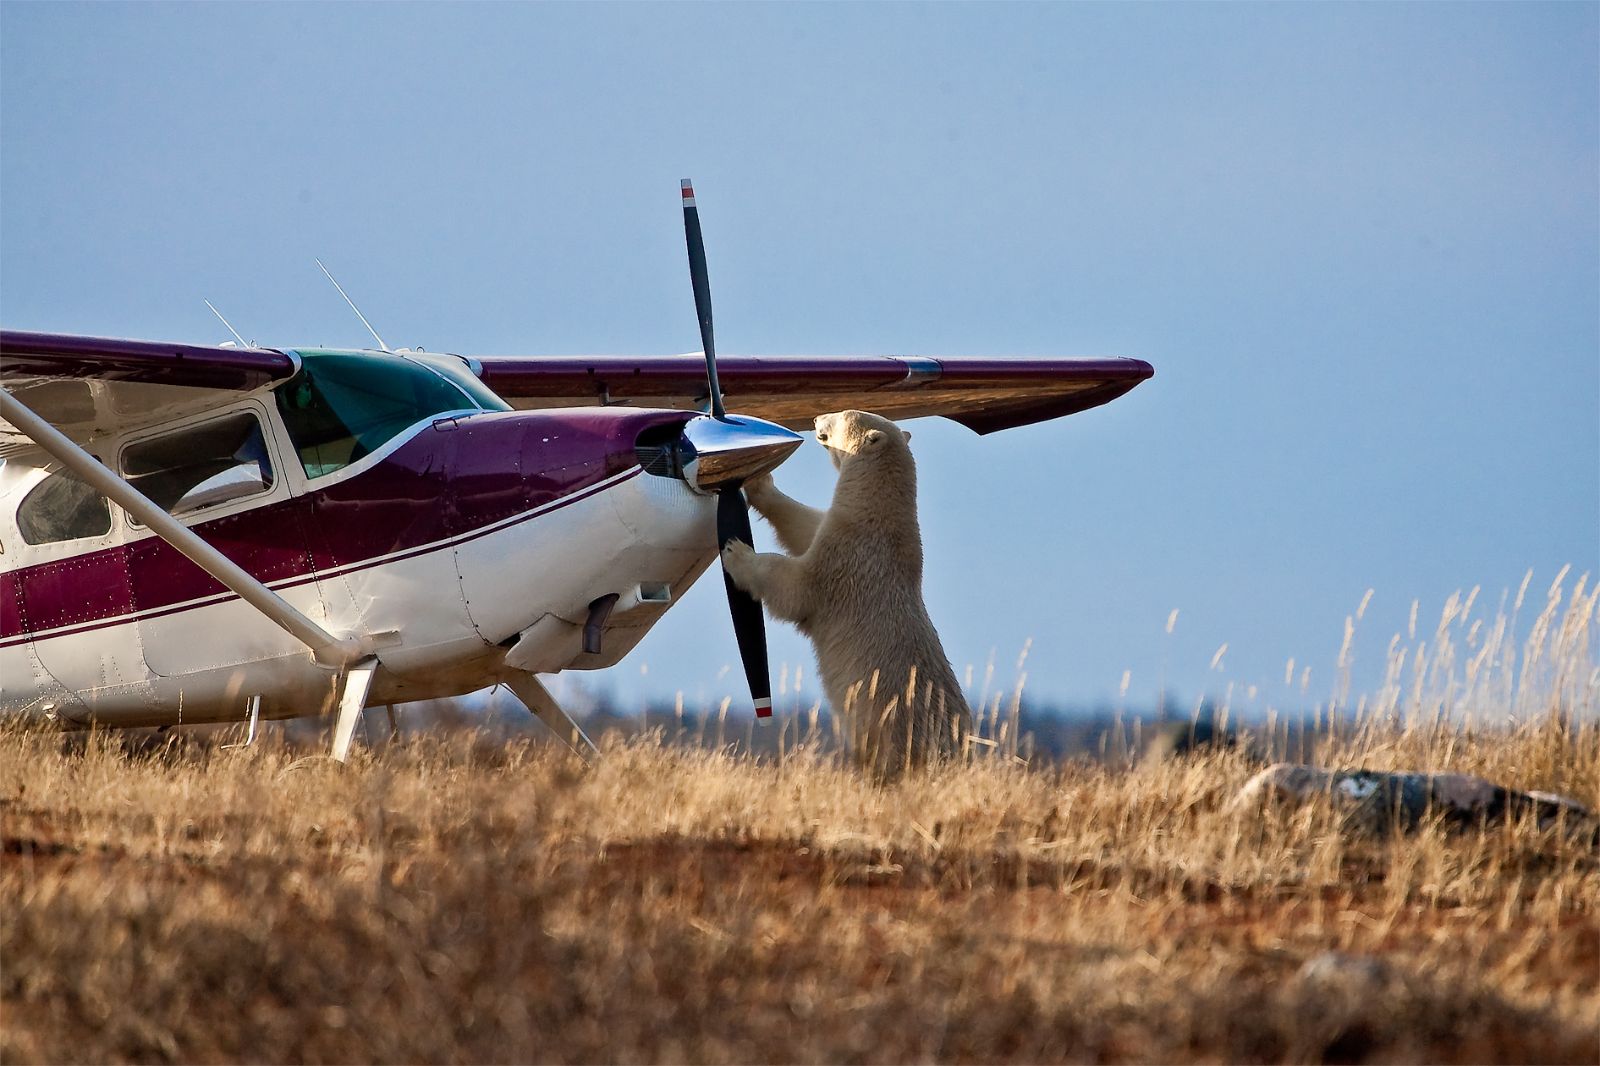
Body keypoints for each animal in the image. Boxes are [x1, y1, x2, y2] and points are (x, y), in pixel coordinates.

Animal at [720, 409, 971, 780]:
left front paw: (737, 552)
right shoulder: (839, 530)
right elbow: (804, 525)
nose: (815, 418)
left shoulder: (848, 559)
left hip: (894, 730)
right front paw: (760, 483)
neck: (880, 519)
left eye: (840, 416)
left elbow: (795, 586)